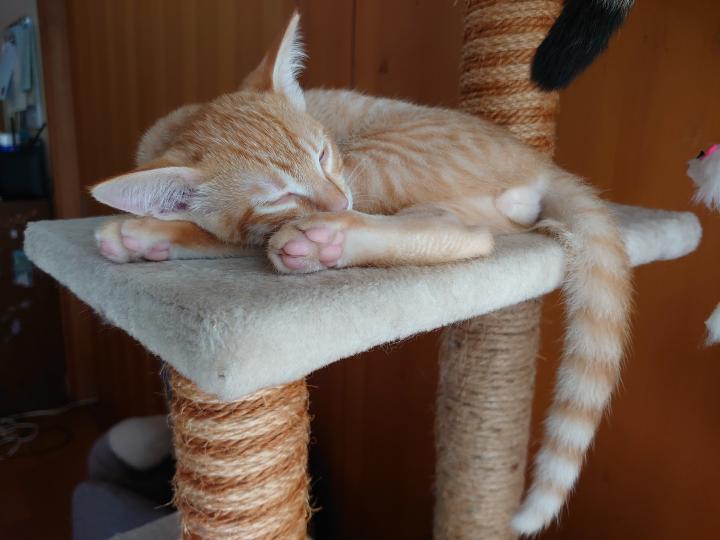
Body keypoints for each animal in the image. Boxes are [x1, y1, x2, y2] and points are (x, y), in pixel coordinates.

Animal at [91, 12, 632, 535]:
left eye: (322, 154)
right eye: (278, 195)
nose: (334, 201)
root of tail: (539, 160)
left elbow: (229, 237)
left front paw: (148, 230)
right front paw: (151, 232)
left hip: (379, 162)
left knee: (455, 235)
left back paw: (319, 241)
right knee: (469, 234)